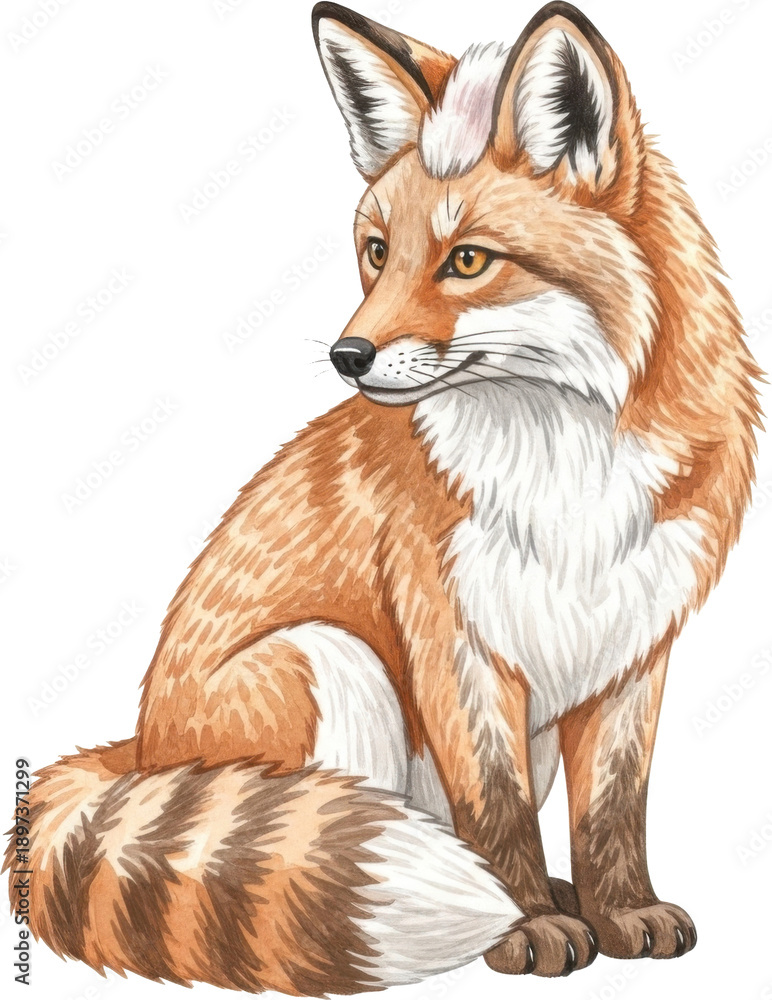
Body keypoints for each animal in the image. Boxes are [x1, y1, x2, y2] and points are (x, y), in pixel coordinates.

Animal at [7, 1, 762, 994]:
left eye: (468, 260)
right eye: (376, 253)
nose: (347, 357)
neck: (565, 466)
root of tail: (139, 750)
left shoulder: (633, 647)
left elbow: (612, 812)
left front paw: (621, 910)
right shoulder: (451, 636)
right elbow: (498, 808)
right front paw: (525, 926)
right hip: (332, 662)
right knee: (310, 856)